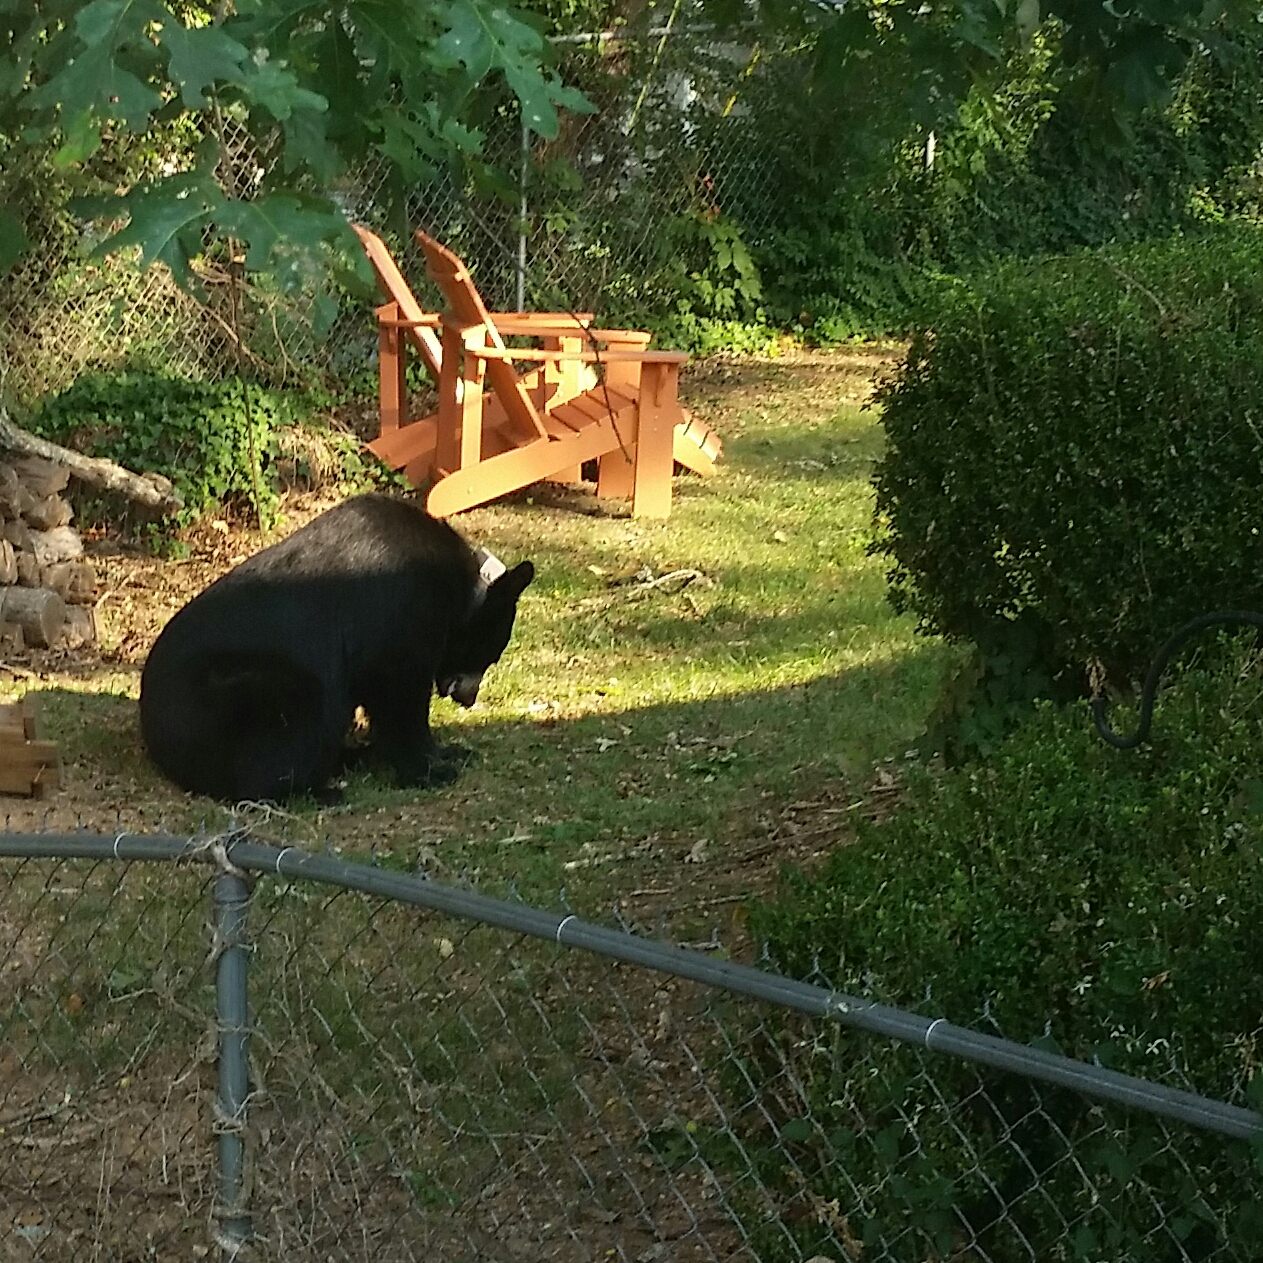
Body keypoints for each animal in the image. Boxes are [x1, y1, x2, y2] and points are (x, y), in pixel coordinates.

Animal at [138, 492, 532, 798]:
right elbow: (399, 696)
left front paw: (448, 752)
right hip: (244, 697)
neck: (458, 593)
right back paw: (317, 788)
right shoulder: (400, 617)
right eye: (490, 654)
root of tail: (155, 739)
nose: (469, 698)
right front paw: (428, 769)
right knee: (298, 722)